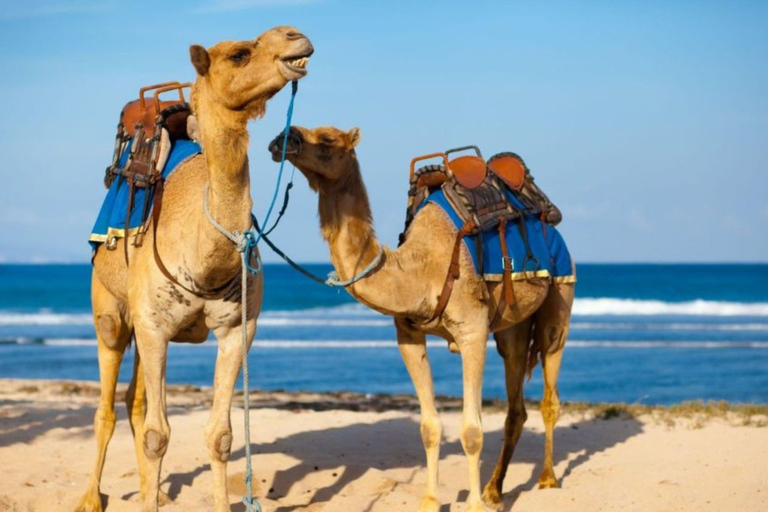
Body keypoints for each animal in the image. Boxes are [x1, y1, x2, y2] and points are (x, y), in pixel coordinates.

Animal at [77, 27, 316, 512]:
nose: (296, 36)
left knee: (134, 402)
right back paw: (93, 498)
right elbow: (157, 435)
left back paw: (154, 492)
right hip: (111, 311)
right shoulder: (153, 325)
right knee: (107, 407)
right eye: (239, 54)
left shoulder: (238, 328)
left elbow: (221, 436)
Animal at [270, 125, 576, 512]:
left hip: (561, 291)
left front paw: (473, 505)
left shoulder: (472, 332)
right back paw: (494, 490)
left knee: (550, 388)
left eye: (327, 140)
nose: (282, 138)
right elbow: (429, 427)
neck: (420, 268)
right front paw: (431, 500)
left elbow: (472, 431)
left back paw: (546, 479)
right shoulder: (408, 335)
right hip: (514, 325)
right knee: (515, 400)